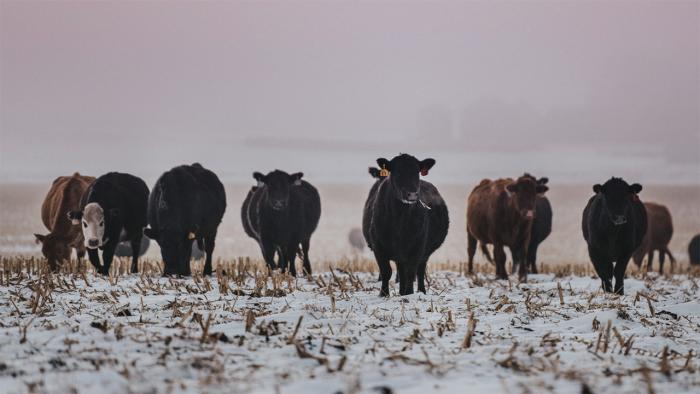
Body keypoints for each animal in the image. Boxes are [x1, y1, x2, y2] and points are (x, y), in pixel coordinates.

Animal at [360, 154, 448, 296]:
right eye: (397, 172)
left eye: (417, 172)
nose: (412, 194)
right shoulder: (378, 246)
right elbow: (386, 271)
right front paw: (383, 294)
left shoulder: (417, 246)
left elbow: (411, 273)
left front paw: (409, 293)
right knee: (401, 271)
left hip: (424, 253)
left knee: (419, 271)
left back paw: (420, 291)